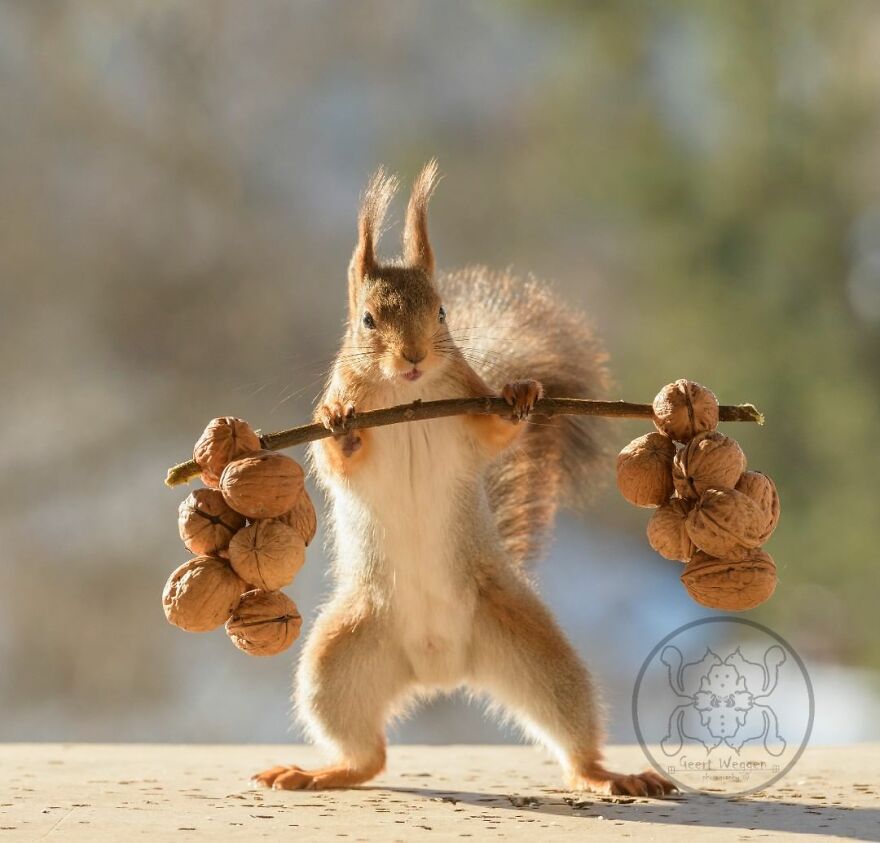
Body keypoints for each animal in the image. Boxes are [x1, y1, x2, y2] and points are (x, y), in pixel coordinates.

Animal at [253, 162, 675, 797]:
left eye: (442, 313)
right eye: (367, 320)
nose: (414, 357)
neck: (405, 395)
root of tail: (438, 668)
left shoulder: (466, 414)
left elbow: (496, 438)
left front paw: (521, 395)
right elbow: (334, 459)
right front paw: (337, 422)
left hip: (534, 650)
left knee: (571, 733)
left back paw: (609, 776)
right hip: (336, 663)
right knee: (367, 755)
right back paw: (319, 771)